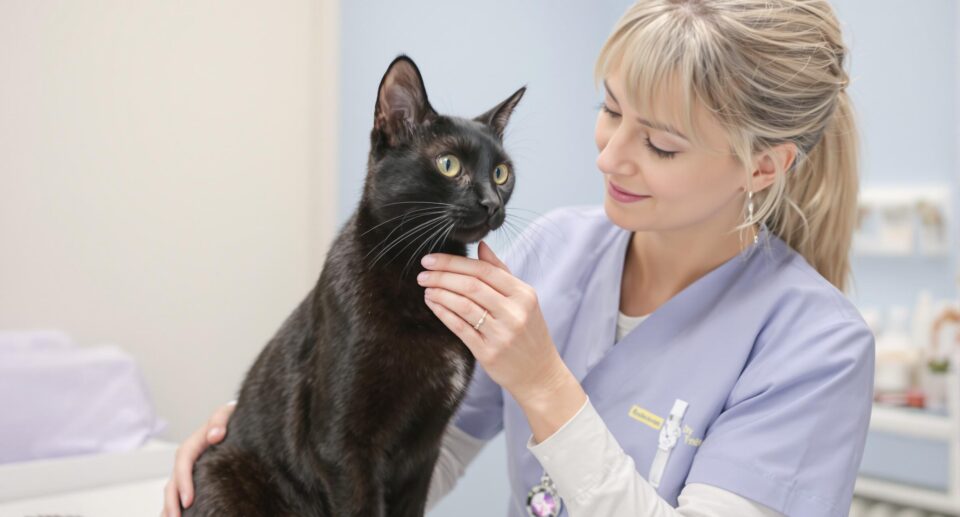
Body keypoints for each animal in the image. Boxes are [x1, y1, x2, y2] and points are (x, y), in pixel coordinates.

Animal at [186, 54, 524, 512]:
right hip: (221, 470)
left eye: (502, 172)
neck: (411, 278)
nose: (491, 202)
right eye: (449, 164)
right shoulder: (343, 446)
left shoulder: (426, 448)